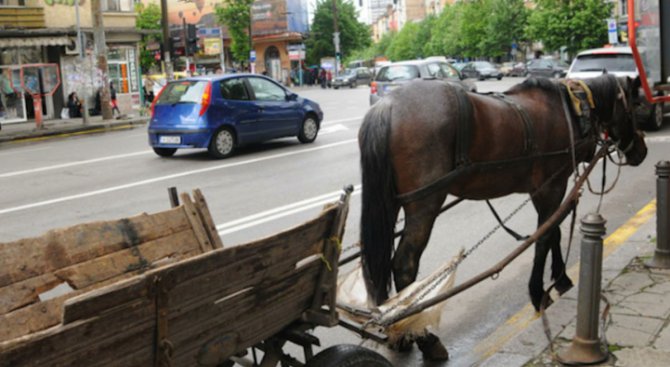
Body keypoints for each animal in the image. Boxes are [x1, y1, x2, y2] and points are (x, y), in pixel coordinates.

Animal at [362, 74, 652, 320]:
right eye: (634, 107)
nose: (642, 151)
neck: (572, 110)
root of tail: (387, 105)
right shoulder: (552, 186)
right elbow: (544, 236)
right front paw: (538, 292)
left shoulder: (541, 190)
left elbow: (553, 231)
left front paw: (560, 280)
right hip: (425, 204)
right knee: (404, 265)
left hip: (393, 204)